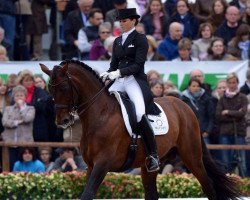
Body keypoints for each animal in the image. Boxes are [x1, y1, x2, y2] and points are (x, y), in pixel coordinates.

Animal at [39, 59, 240, 200]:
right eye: (50, 89)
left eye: (64, 87)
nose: (62, 120)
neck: (100, 115)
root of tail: (185, 106)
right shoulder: (91, 166)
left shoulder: (102, 163)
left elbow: (87, 194)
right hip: (149, 166)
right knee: (152, 194)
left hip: (192, 157)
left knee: (209, 188)